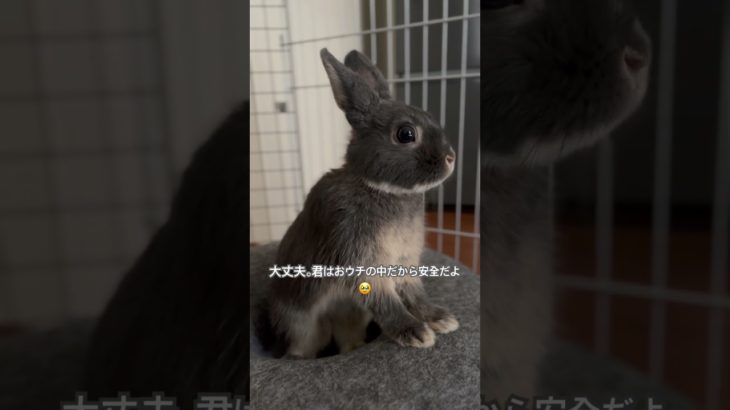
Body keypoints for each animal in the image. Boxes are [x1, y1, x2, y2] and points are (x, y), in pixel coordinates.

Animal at [258, 48, 459, 359]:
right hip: (304, 327)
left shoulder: (403, 263)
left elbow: (415, 293)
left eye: (429, 116)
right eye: (406, 134)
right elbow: (386, 300)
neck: (380, 188)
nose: (451, 158)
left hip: (351, 317)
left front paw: (439, 318)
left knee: (348, 338)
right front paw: (415, 332)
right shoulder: (360, 258)